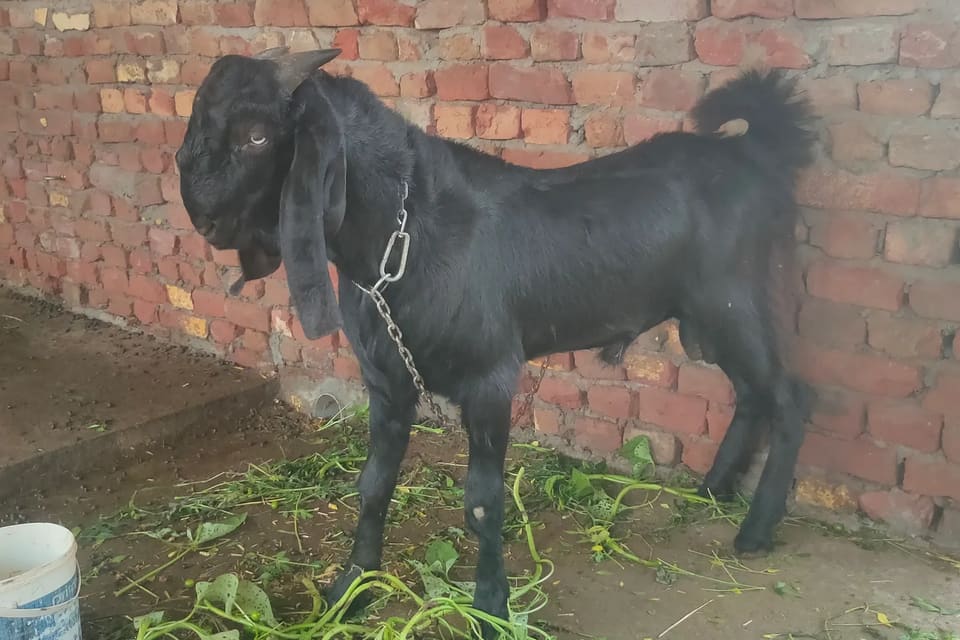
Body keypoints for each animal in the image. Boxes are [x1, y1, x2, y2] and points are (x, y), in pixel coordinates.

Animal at [177, 47, 817, 636]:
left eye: (257, 135)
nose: (200, 214)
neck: (406, 235)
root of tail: (752, 153)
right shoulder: (387, 383)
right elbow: (373, 486)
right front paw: (350, 589)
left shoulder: (489, 379)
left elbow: (482, 502)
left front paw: (490, 608)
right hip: (714, 315)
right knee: (752, 393)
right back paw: (714, 490)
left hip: (735, 299)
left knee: (789, 397)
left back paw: (756, 529)